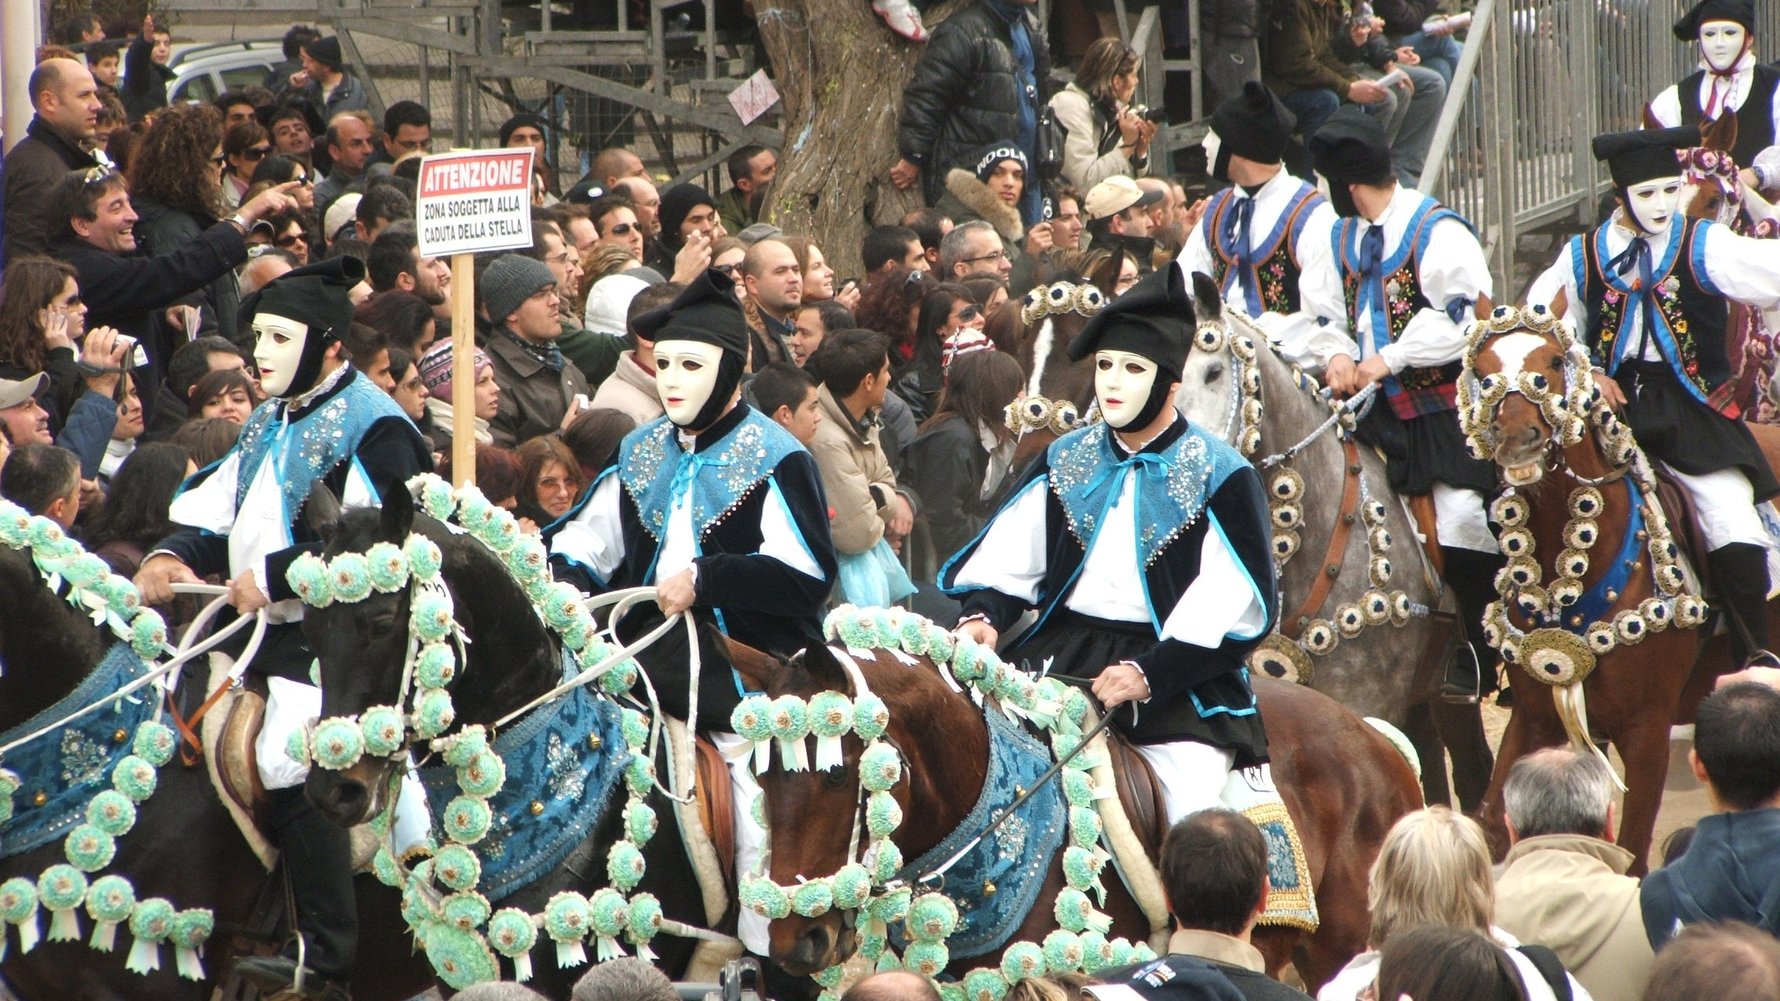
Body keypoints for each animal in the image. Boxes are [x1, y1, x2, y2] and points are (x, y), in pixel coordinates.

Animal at [1459, 295, 1780, 865]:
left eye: (1553, 362)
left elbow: (1631, 852)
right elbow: (1493, 826)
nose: (1516, 441)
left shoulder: (1646, 730)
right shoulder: (1537, 714)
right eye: (1482, 373)